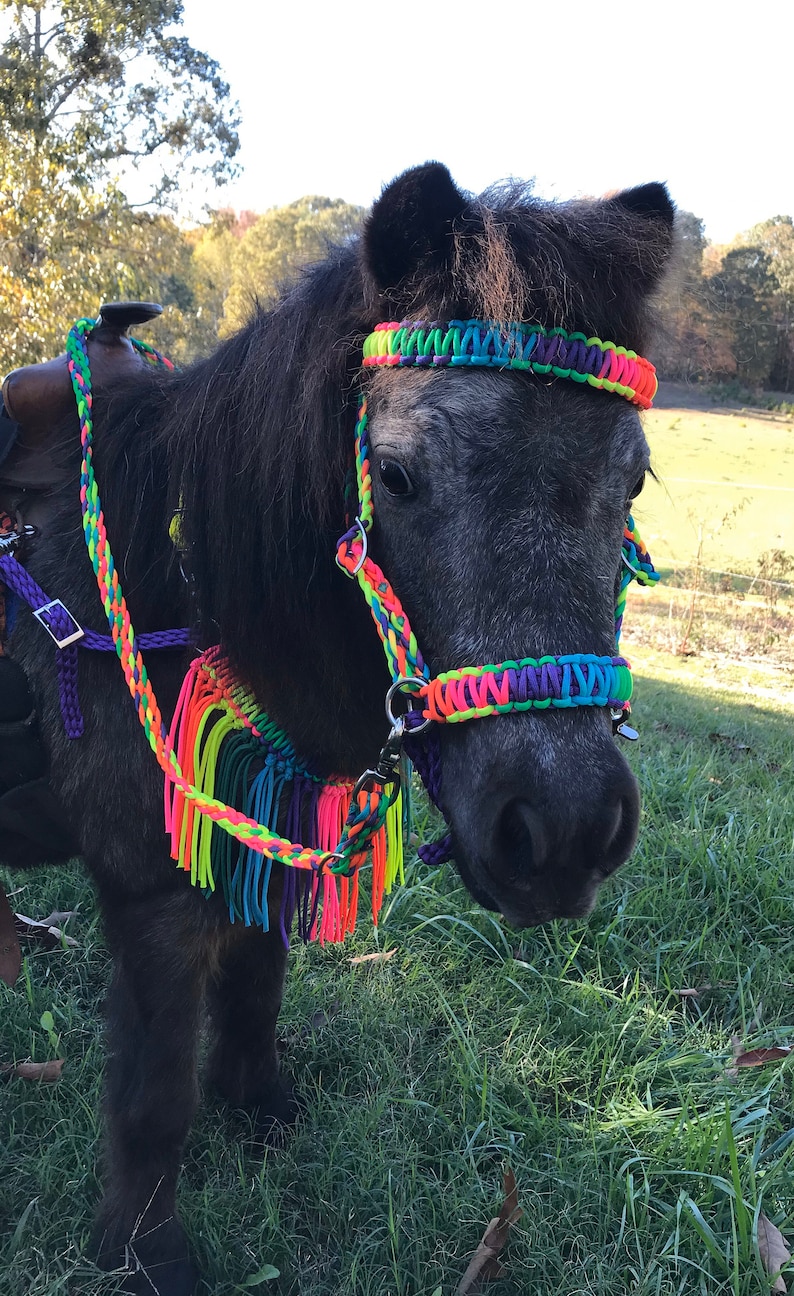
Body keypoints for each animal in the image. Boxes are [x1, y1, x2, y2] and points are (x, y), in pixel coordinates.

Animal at [0, 161, 674, 1295]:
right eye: (394, 475)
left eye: (632, 481)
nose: (563, 832)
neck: (181, 578)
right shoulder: (151, 890)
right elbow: (153, 1097)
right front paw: (145, 1253)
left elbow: (258, 983)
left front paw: (258, 1107)